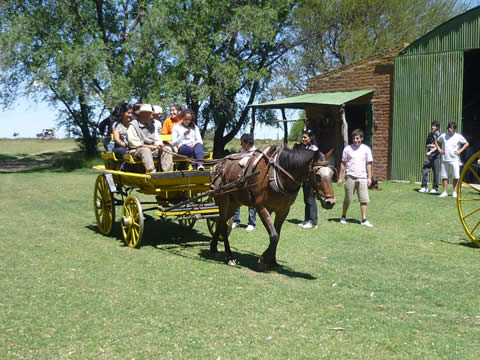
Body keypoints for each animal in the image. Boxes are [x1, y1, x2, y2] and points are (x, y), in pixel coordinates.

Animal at [210, 143, 338, 270]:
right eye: (318, 176)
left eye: (332, 174)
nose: (330, 202)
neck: (278, 174)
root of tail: (219, 165)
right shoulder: (261, 207)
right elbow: (274, 235)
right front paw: (263, 259)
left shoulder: (283, 210)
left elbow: (277, 235)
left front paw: (272, 261)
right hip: (223, 200)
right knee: (222, 224)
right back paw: (229, 257)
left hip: (234, 203)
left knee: (220, 221)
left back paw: (214, 248)